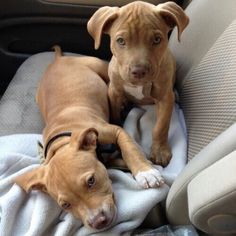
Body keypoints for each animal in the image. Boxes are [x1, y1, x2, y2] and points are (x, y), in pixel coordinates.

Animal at [13, 46, 163, 230]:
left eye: (91, 181)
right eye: (65, 205)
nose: (98, 222)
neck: (62, 141)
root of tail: (58, 60)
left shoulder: (116, 131)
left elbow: (130, 149)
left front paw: (145, 172)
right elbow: (116, 161)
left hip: (99, 66)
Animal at [87, 0, 189, 167]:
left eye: (157, 39)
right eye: (120, 41)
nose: (139, 71)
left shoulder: (165, 98)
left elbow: (161, 126)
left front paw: (160, 151)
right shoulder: (114, 92)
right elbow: (115, 115)